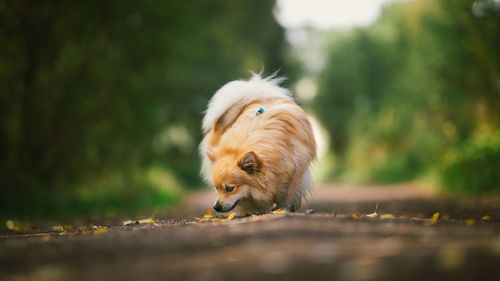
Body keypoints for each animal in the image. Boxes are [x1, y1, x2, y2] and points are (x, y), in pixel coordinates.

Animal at [199, 72, 316, 214]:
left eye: (230, 188)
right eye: (217, 188)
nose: (216, 207)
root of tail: (258, 96)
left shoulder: (296, 171)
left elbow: (289, 194)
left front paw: (283, 209)